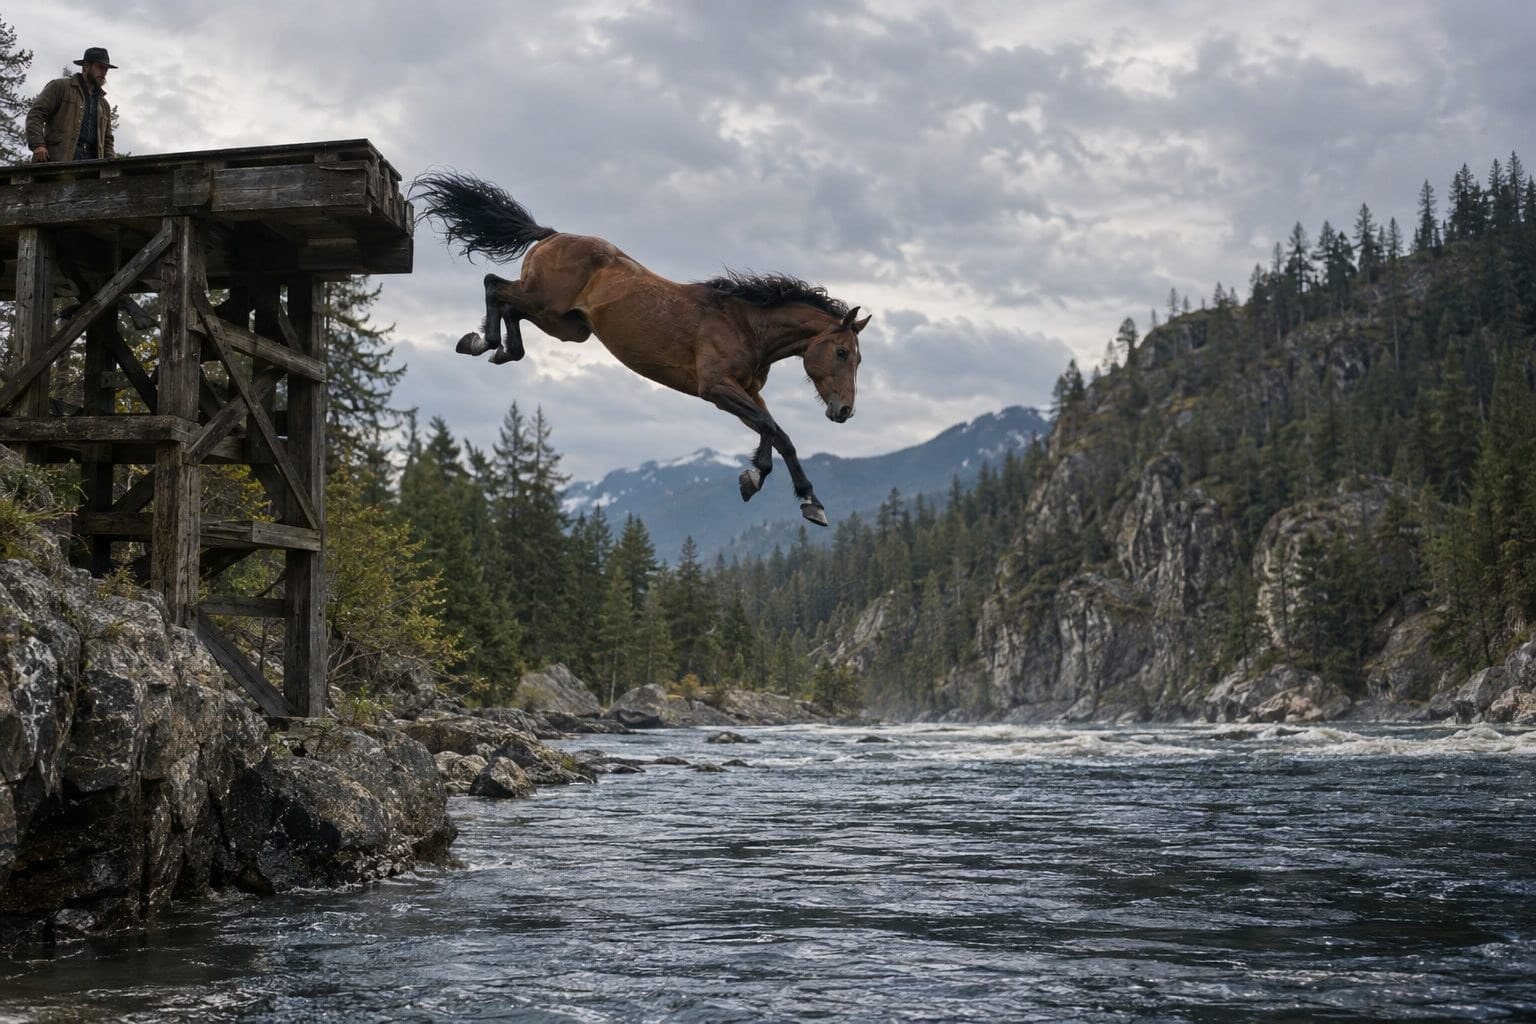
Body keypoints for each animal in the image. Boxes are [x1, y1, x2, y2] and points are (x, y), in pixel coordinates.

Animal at [412, 172, 869, 527]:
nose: (845, 411)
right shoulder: (716, 389)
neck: (744, 324)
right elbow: (776, 431)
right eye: (843, 353)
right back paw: (480, 342)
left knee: (509, 307)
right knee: (494, 285)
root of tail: (552, 235)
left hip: (565, 325)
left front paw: (766, 483)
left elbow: (771, 431)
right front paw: (798, 498)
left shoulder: (746, 391)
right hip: (546, 302)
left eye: (857, 357)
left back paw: (502, 350)